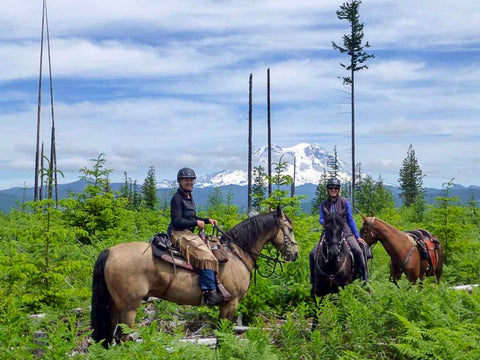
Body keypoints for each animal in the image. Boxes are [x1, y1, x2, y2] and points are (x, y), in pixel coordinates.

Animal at [90, 207, 296, 348]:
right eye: (290, 228)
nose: (295, 254)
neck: (237, 253)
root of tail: (110, 251)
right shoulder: (230, 303)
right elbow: (222, 336)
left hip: (114, 305)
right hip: (129, 307)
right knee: (122, 337)